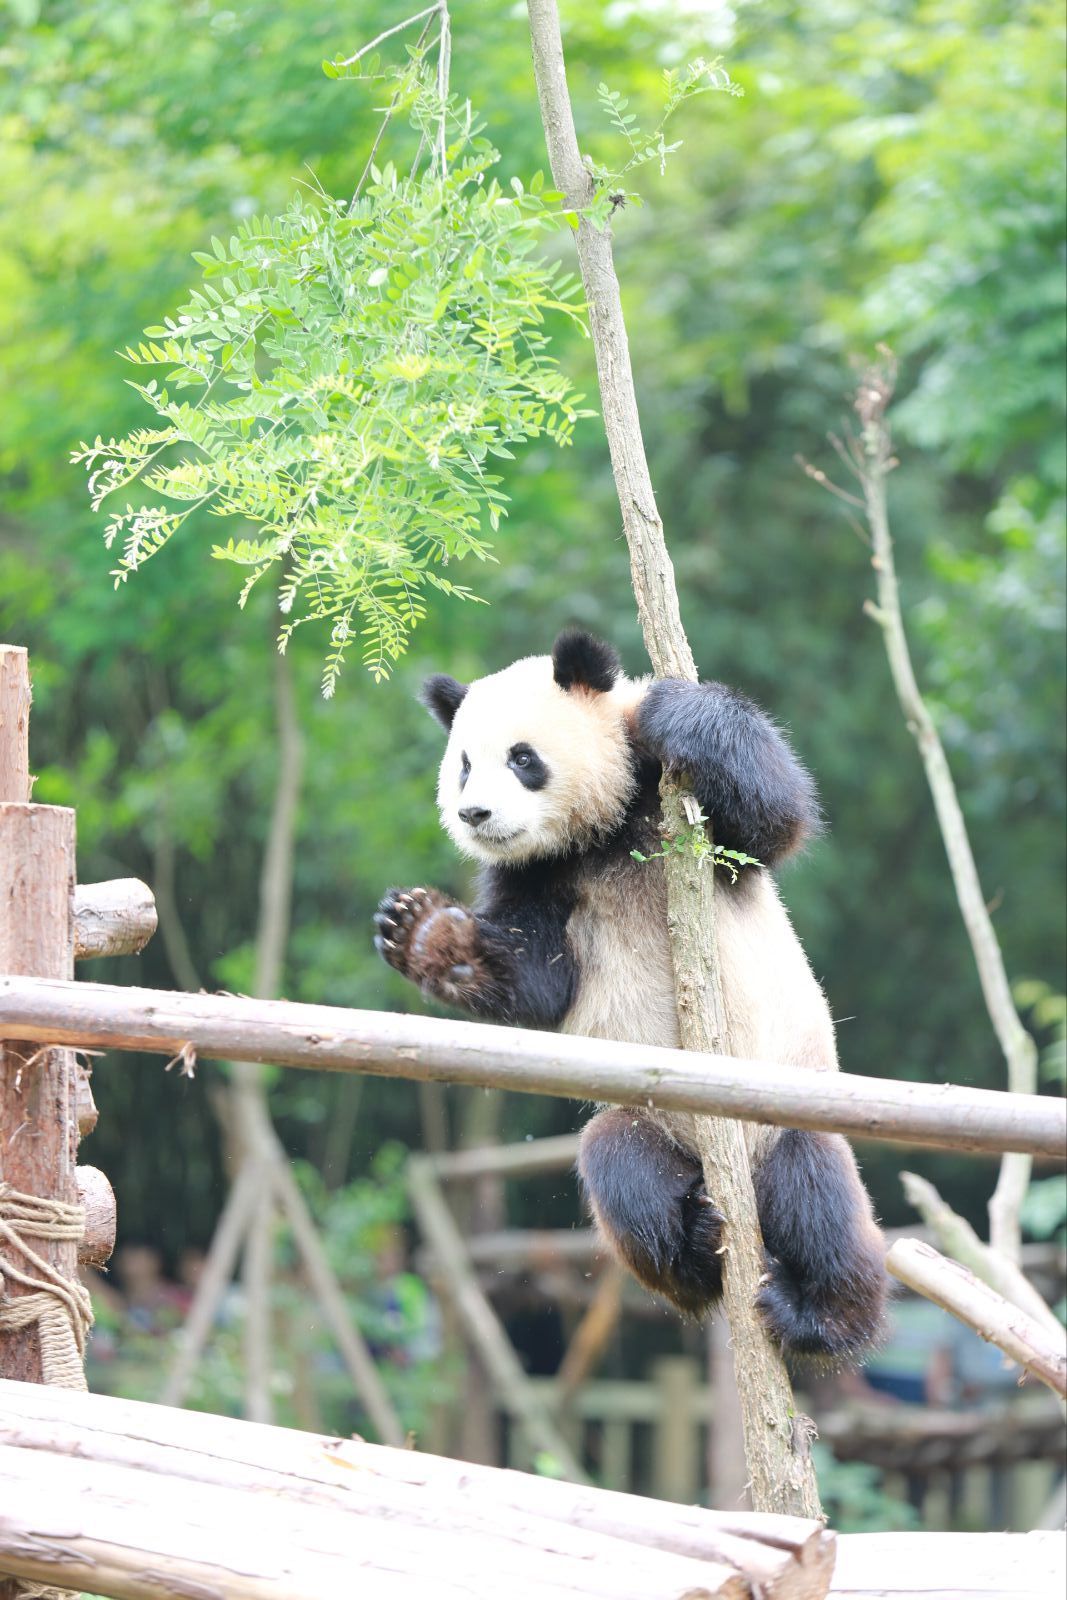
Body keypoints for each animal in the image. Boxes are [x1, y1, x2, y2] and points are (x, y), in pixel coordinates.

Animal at [375, 630, 883, 1356]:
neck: (597, 833)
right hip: (650, 1121)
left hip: (784, 1108)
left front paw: (680, 712)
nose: (474, 813)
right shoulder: (535, 872)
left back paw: (818, 1316)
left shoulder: (675, 803)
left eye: (522, 758)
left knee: (814, 1193)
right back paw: (695, 1248)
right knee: (621, 1168)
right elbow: (536, 981)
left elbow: (773, 819)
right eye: (465, 765)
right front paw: (421, 933)